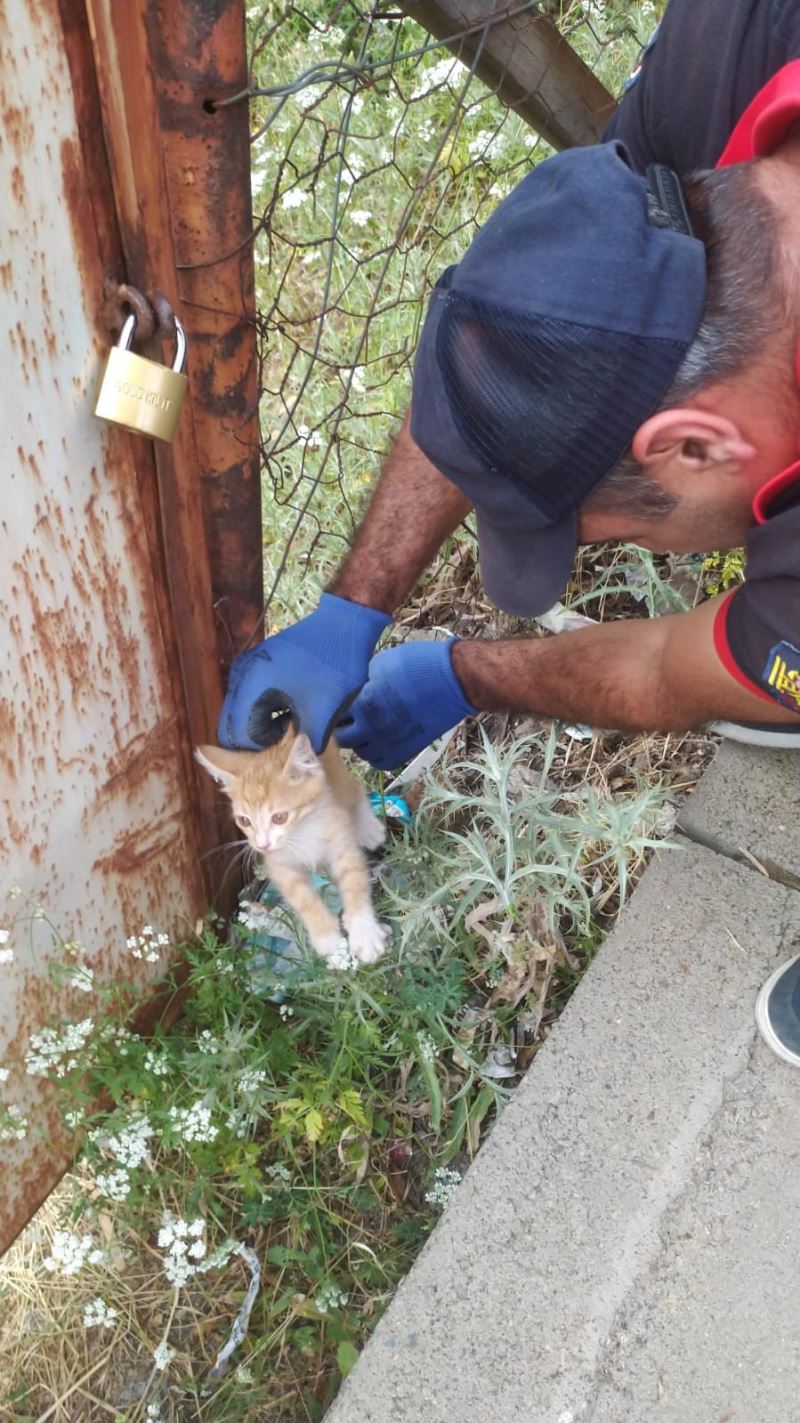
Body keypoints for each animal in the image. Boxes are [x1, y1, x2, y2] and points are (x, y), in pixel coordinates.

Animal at [193, 734, 387, 967]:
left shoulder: (341, 842)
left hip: (338, 775)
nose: (261, 844)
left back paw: (369, 829)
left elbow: (355, 882)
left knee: (354, 789)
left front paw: (365, 934)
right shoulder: (279, 865)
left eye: (279, 817)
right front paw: (328, 939)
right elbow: (303, 898)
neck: (300, 832)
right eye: (244, 821)